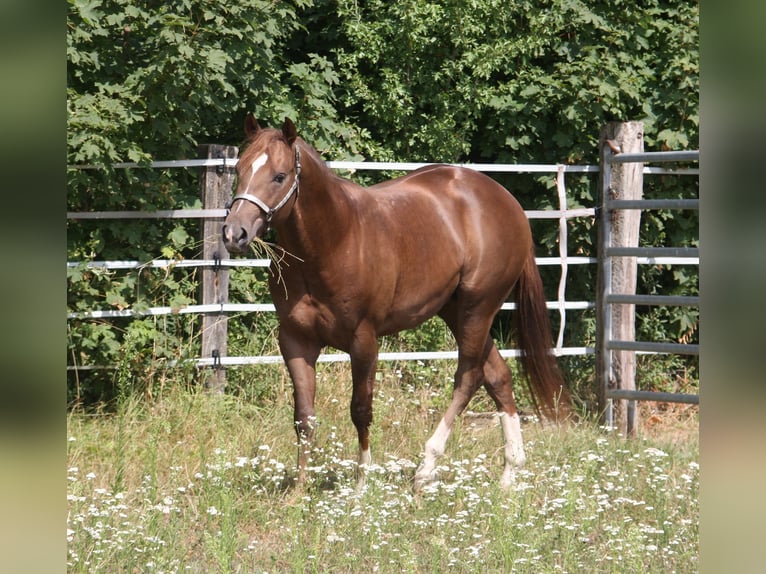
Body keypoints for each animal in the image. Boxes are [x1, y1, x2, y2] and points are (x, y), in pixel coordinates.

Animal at [222, 115, 570, 491]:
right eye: (240, 169)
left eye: (279, 176)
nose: (234, 233)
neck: (334, 240)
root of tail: (508, 202)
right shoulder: (296, 340)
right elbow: (304, 417)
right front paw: (299, 490)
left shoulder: (364, 341)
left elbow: (361, 410)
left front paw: (361, 482)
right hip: (456, 310)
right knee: (498, 376)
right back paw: (509, 472)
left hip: (478, 308)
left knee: (469, 377)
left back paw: (426, 468)